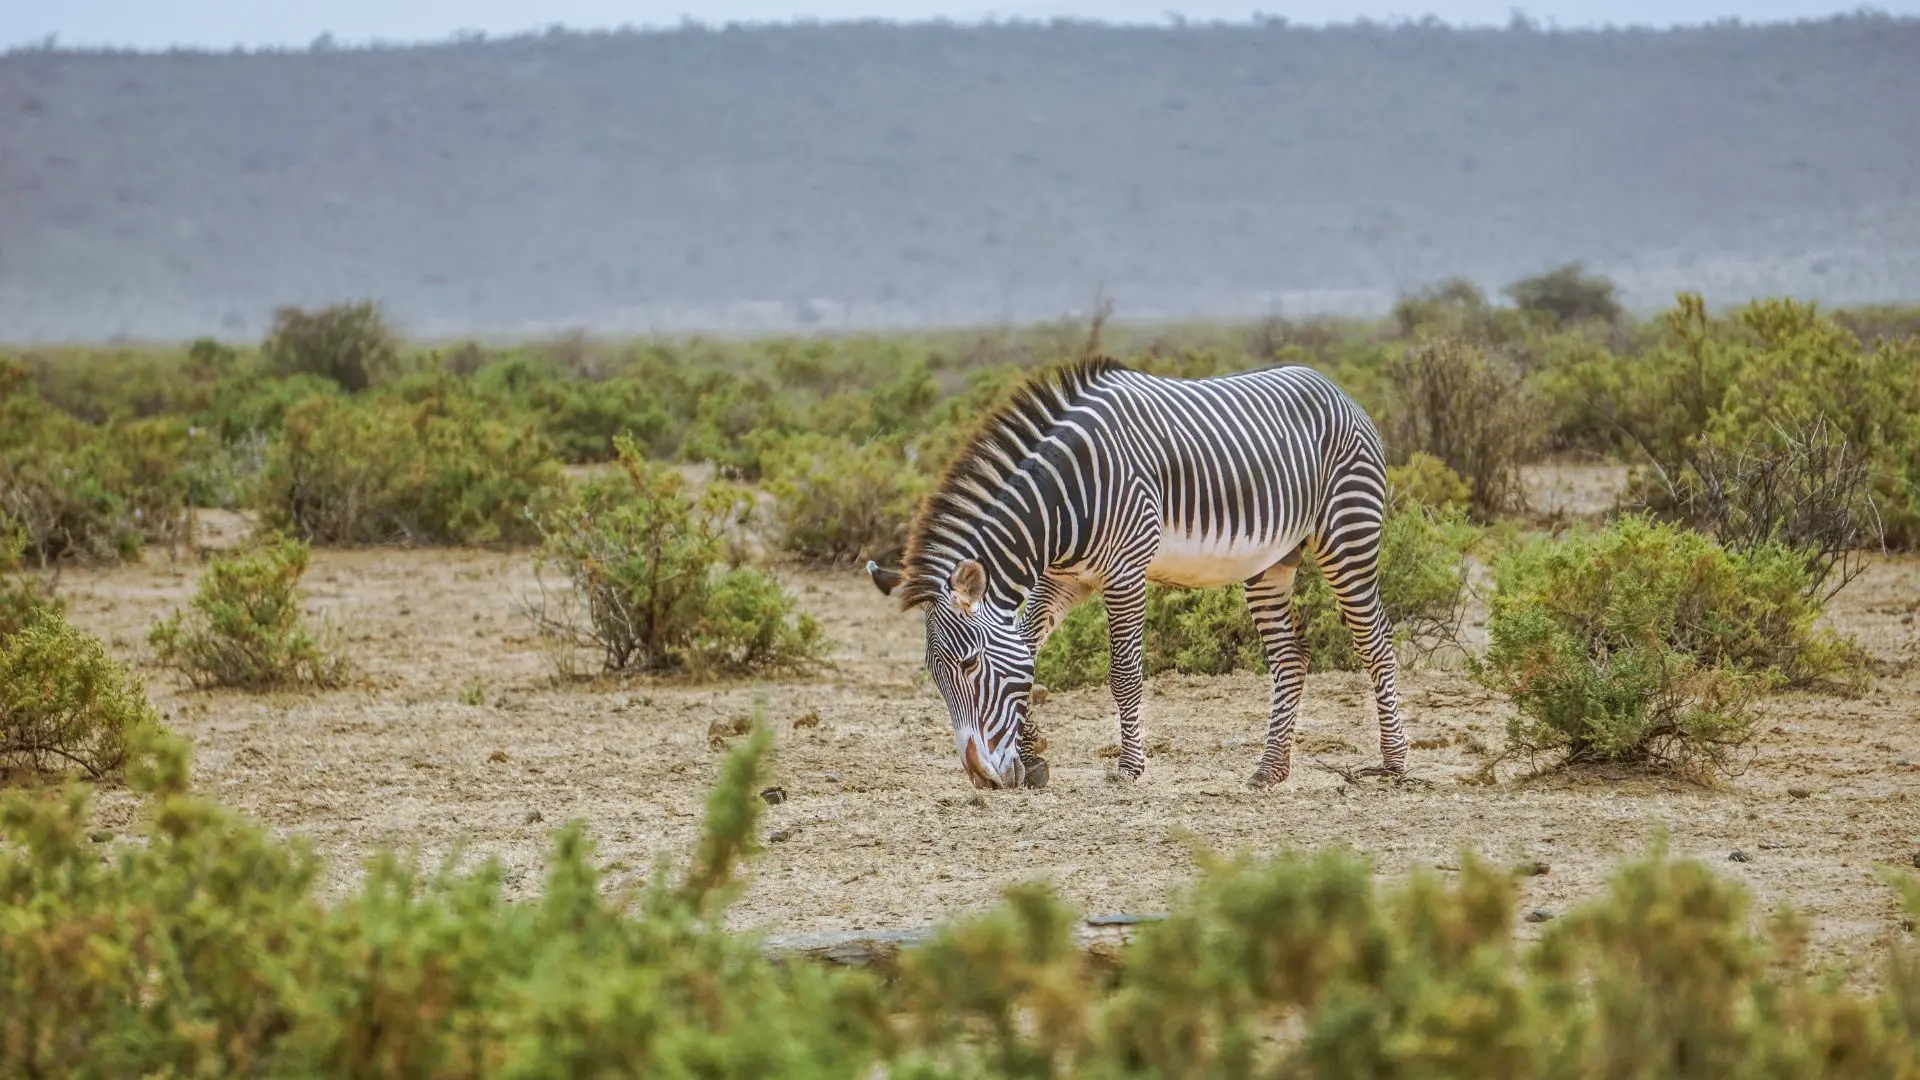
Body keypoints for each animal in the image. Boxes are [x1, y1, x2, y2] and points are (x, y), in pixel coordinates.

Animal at [866, 355, 1407, 791]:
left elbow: (1123, 672)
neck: (1064, 499)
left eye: (969, 665)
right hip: (1272, 561)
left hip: (1347, 535)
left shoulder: (1125, 571)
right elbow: (1028, 647)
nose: (981, 778)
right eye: (935, 675)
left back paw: (1394, 765)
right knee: (1291, 658)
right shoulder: (1065, 576)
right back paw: (1270, 770)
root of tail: (1337, 389)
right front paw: (1033, 752)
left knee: (1375, 642)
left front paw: (1129, 767)